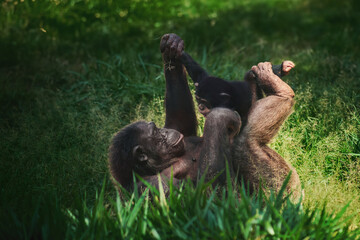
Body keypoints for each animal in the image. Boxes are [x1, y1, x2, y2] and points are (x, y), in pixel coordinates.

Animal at [108, 33, 302, 199]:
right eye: (157, 135)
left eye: (157, 130)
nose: (165, 132)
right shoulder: (154, 186)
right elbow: (208, 196)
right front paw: (220, 117)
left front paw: (172, 47)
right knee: (244, 141)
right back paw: (281, 91)